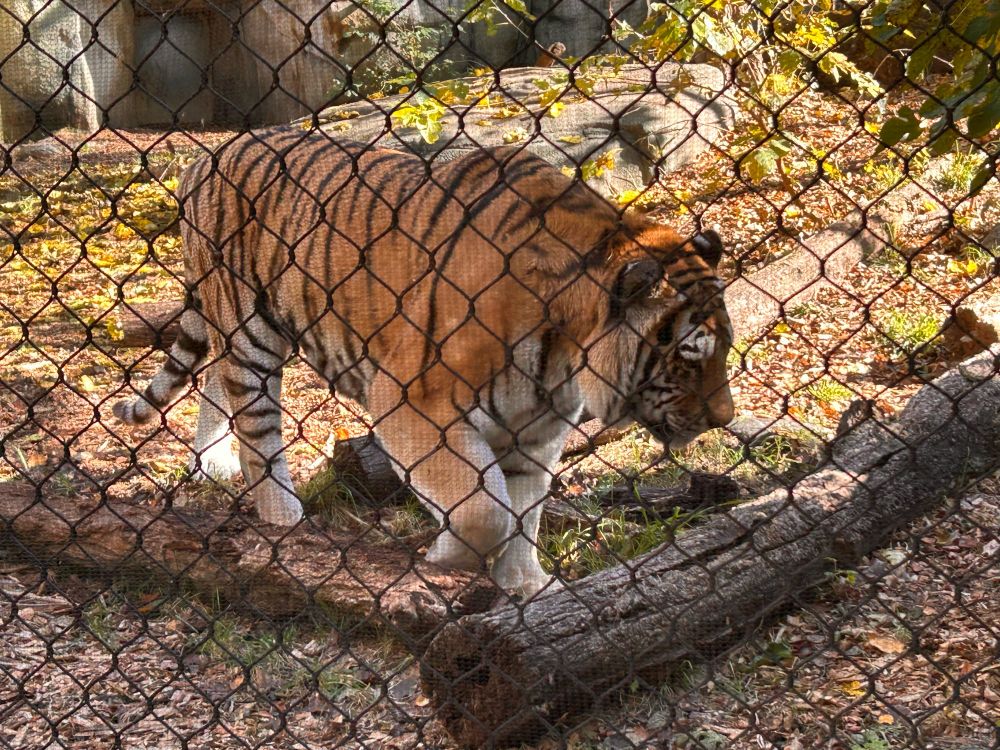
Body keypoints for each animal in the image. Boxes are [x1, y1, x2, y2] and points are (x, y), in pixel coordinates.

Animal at [113, 127, 734, 597]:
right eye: (687, 357)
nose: (723, 419)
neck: (566, 352)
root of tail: (205, 157)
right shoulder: (413, 400)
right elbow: (486, 508)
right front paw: (448, 556)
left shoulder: (535, 429)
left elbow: (525, 509)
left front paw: (525, 585)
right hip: (250, 330)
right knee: (256, 426)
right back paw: (282, 518)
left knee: (215, 382)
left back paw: (211, 464)